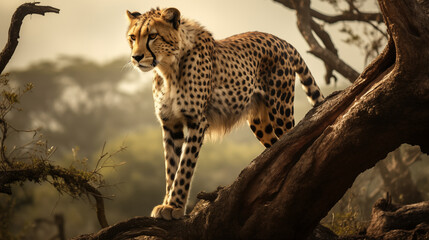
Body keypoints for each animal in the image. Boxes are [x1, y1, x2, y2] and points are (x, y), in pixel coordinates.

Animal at [125, 7, 322, 220]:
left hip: (281, 111)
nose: (136, 57)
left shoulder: (197, 122)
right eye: (132, 37)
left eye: (152, 36)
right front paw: (167, 203)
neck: (167, 69)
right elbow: (171, 168)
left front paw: (175, 206)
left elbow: (184, 167)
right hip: (260, 121)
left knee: (294, 143)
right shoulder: (170, 124)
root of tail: (279, 39)